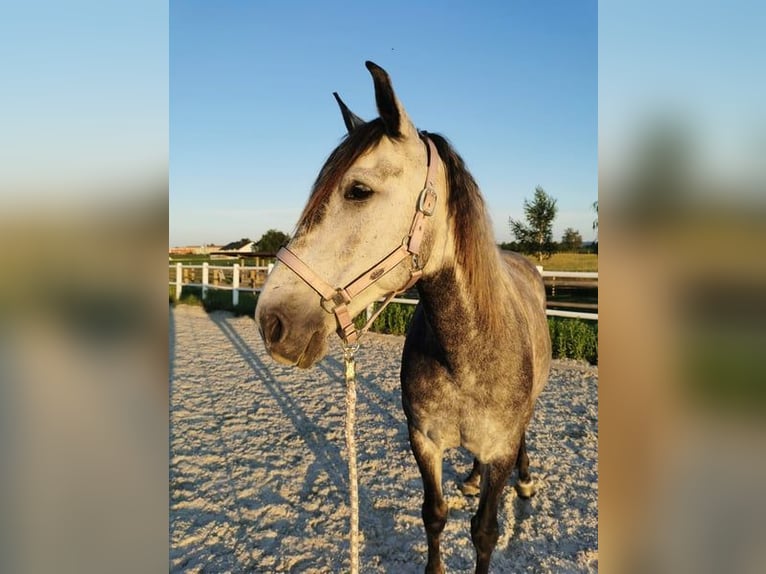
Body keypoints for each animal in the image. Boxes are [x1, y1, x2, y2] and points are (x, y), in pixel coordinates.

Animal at [256, 62, 552, 574]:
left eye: (358, 190)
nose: (271, 321)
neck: (467, 355)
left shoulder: (499, 449)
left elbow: (484, 531)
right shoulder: (425, 441)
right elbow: (434, 515)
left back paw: (526, 479)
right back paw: (470, 478)